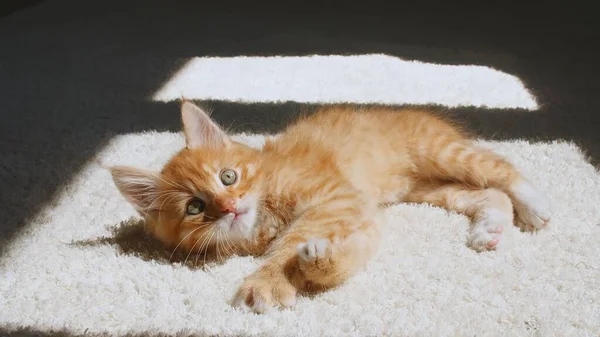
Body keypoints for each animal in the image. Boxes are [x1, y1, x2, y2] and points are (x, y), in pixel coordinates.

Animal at [110, 101, 552, 314]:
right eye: (195, 207)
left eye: (228, 177)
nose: (231, 206)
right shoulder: (367, 215)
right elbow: (346, 256)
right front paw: (323, 263)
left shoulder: (337, 197)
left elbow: (294, 241)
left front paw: (268, 280)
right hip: (429, 189)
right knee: (489, 193)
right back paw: (489, 229)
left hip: (441, 151)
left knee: (503, 171)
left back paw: (536, 205)